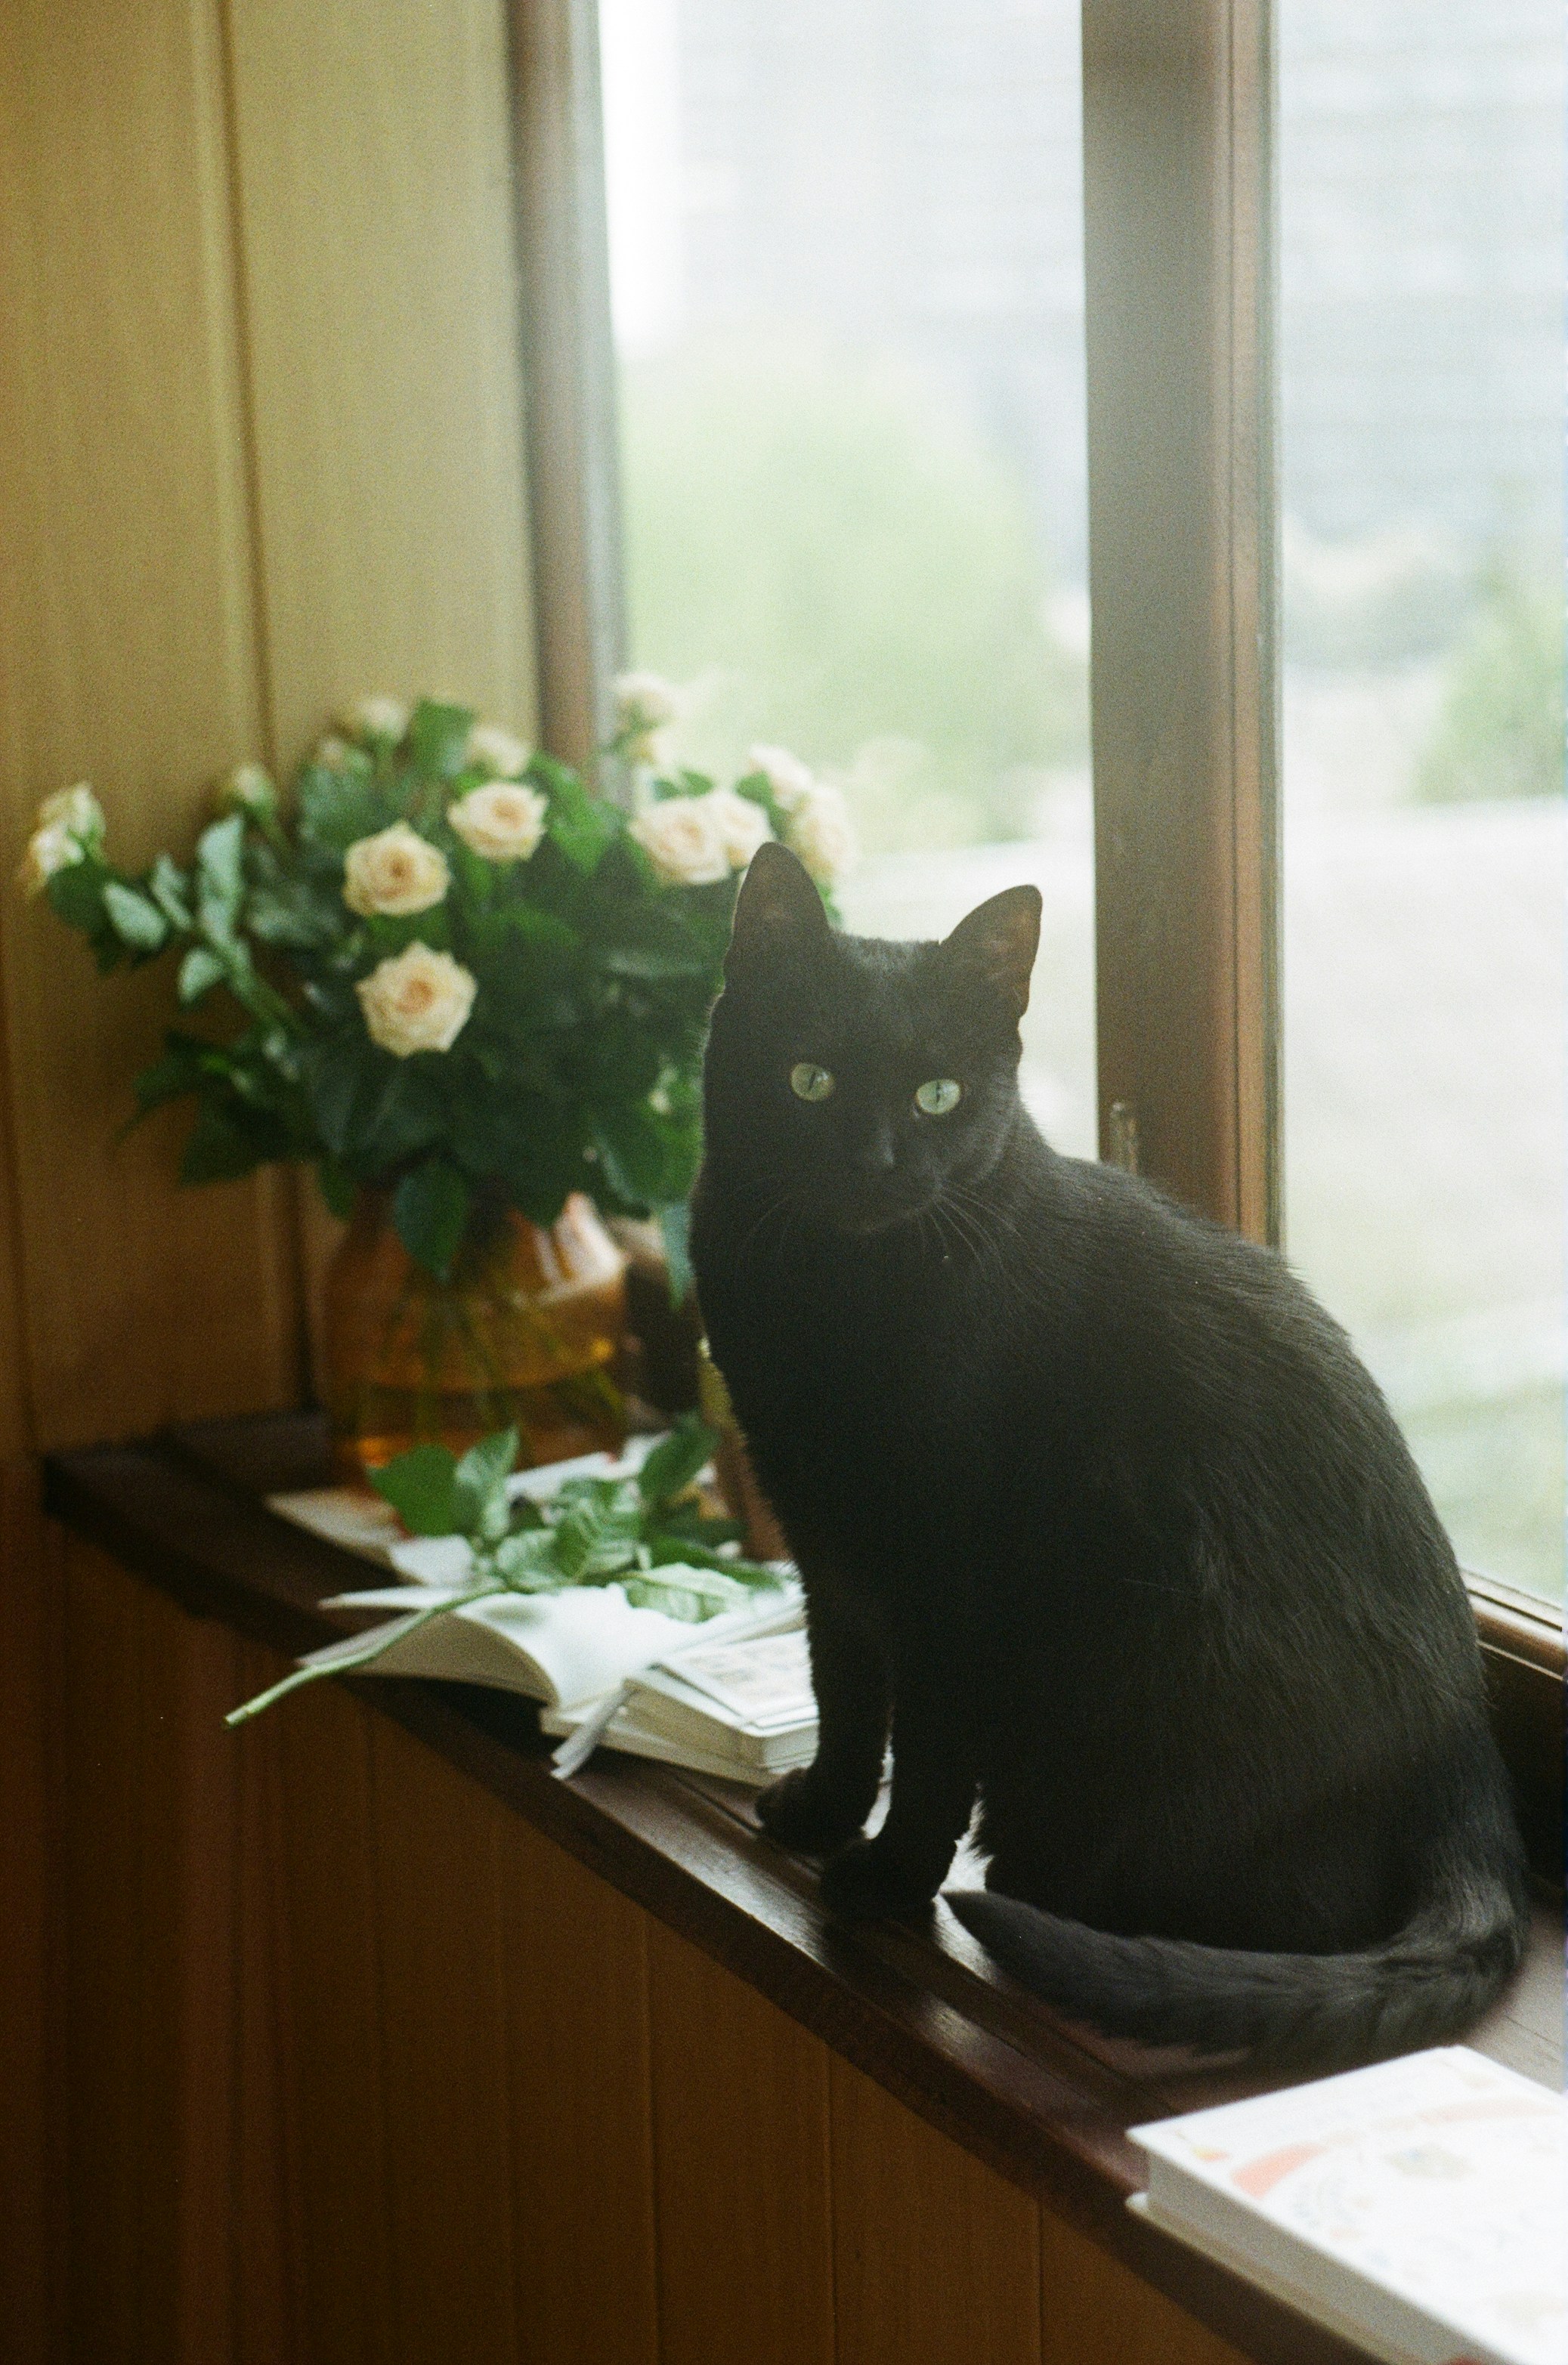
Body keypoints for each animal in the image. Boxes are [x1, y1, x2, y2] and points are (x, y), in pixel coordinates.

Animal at [695, 842, 1523, 2062]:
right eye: (809, 1080)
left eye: (937, 1094)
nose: (875, 1162)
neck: (828, 1295)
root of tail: (1467, 1764)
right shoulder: (822, 1541)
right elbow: (843, 1694)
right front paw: (819, 1810)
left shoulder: (949, 1579)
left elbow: (925, 1747)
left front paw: (886, 1877)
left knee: (1296, 1912)